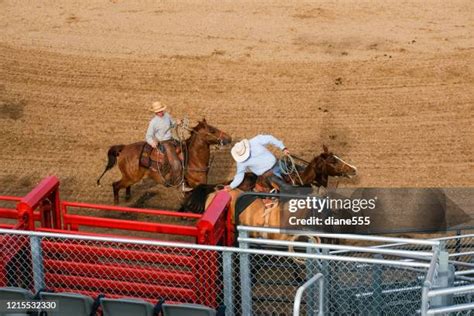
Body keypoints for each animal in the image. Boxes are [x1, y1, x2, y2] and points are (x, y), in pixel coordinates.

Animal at [96, 119, 231, 205]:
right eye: (212, 130)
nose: (228, 138)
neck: (193, 159)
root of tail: (124, 148)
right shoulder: (196, 183)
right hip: (130, 177)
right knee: (115, 185)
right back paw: (116, 204)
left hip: (130, 177)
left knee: (125, 186)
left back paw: (128, 198)